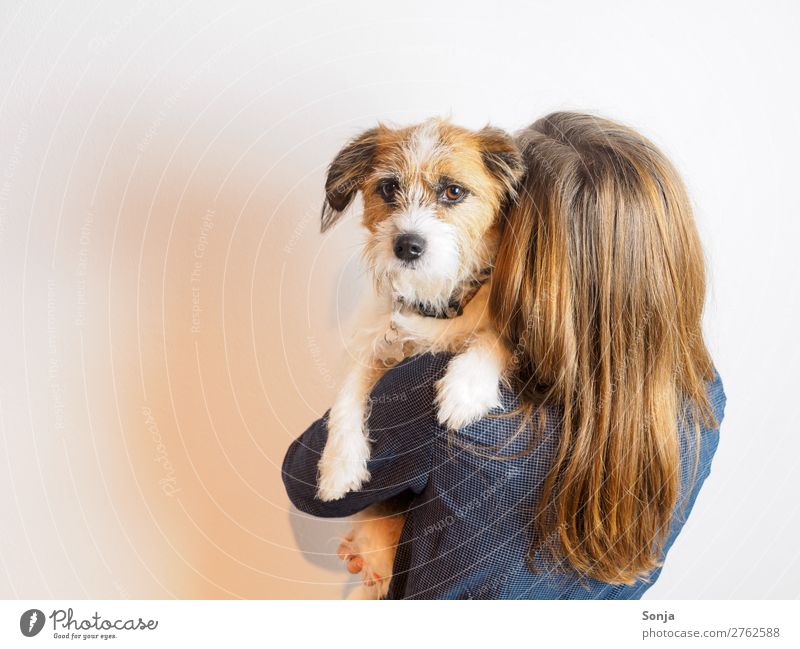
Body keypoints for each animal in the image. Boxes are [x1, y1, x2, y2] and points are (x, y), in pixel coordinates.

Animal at [316, 117, 528, 596]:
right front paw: (338, 466)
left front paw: (465, 390)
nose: (407, 245)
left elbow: (494, 337)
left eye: (453, 191)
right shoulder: (378, 339)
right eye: (388, 188)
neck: (436, 300)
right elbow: (347, 393)